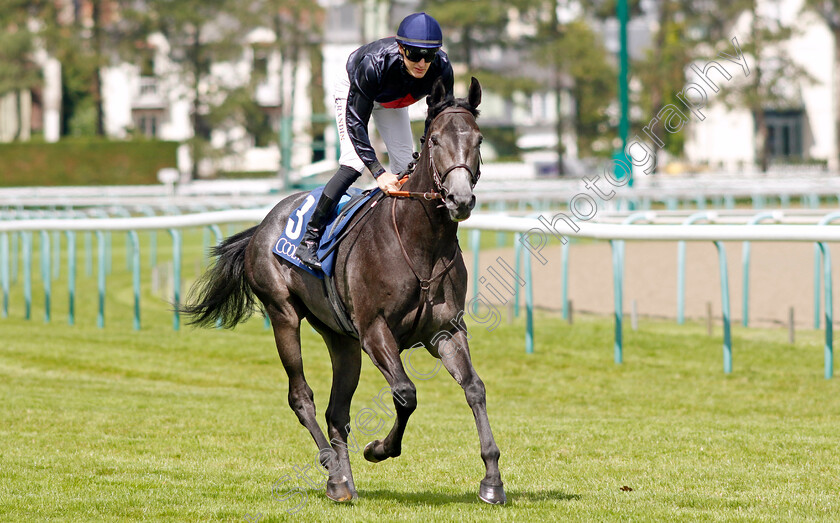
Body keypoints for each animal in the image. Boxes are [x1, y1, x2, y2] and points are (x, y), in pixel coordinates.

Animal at [183, 79, 506, 508]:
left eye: (478, 139)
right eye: (435, 139)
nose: (460, 199)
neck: (420, 242)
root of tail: (262, 225)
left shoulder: (447, 330)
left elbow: (475, 388)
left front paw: (492, 479)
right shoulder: (375, 331)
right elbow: (406, 393)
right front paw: (379, 449)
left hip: (341, 340)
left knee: (337, 411)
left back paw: (344, 483)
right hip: (284, 314)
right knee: (301, 396)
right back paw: (334, 473)